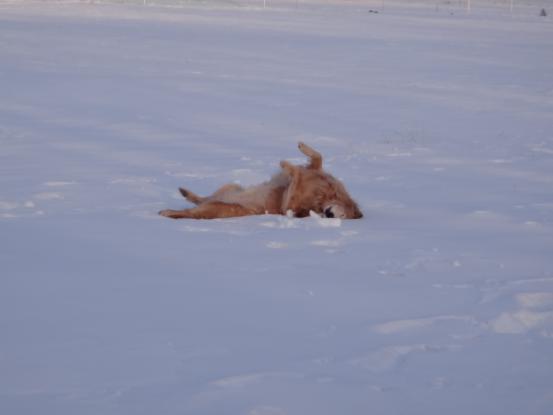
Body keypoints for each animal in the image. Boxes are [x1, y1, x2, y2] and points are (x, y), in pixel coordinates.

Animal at [158, 142, 362, 221]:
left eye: (342, 217)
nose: (329, 214)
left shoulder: (289, 202)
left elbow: (296, 174)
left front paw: (286, 165)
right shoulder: (315, 172)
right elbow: (318, 158)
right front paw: (298, 152)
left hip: (218, 206)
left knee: (190, 212)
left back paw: (168, 212)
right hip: (230, 186)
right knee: (200, 199)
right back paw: (185, 192)